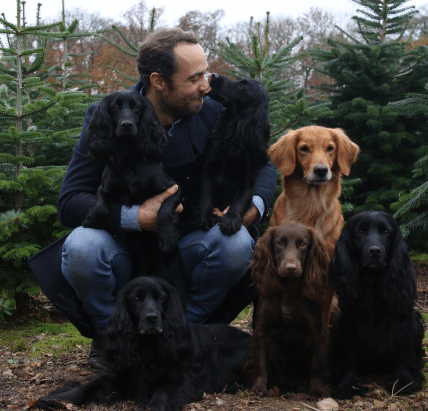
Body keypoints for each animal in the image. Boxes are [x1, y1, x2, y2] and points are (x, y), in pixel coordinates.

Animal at [36, 276, 252, 411]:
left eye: (161, 298)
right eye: (136, 299)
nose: (152, 318)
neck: (147, 346)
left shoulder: (186, 380)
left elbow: (162, 391)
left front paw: (153, 406)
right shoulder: (117, 371)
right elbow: (85, 387)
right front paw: (55, 399)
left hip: (223, 354)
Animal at [328, 212, 424, 400]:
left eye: (386, 232)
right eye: (360, 232)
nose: (374, 251)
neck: (373, 280)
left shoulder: (404, 320)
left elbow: (404, 351)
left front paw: (404, 381)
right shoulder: (348, 323)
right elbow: (349, 355)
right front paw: (347, 385)